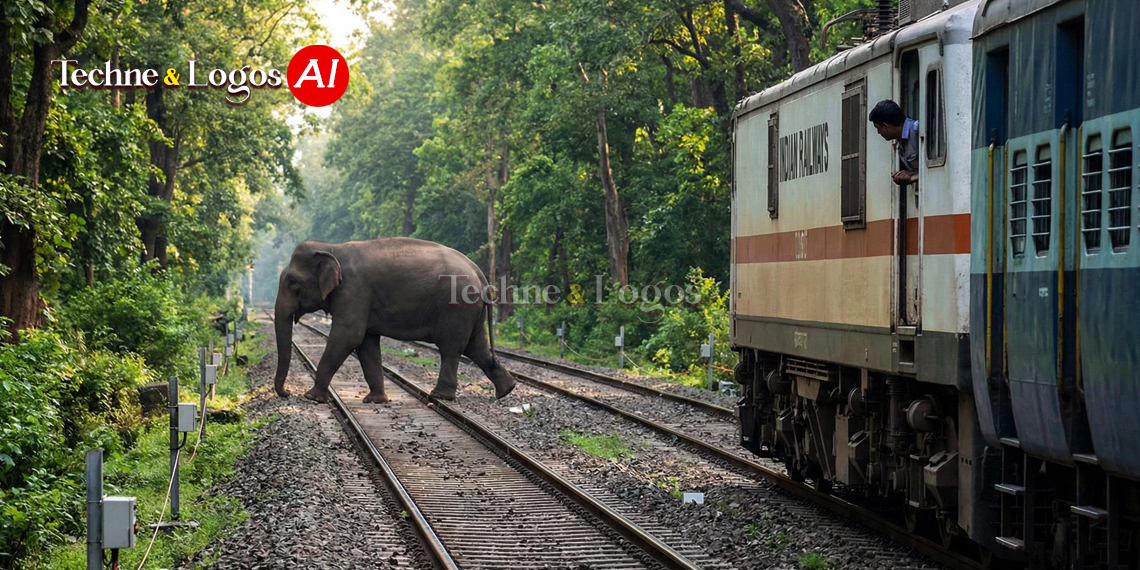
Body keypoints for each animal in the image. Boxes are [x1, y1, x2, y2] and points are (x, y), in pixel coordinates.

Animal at [272, 237, 516, 403]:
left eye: (292, 281)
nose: (287, 393)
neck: (332, 247)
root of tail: (479, 272)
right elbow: (366, 343)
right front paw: (376, 400)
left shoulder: (354, 290)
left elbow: (348, 336)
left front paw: (311, 397)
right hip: (471, 310)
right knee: (477, 347)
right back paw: (507, 390)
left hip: (456, 307)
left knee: (451, 348)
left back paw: (439, 396)